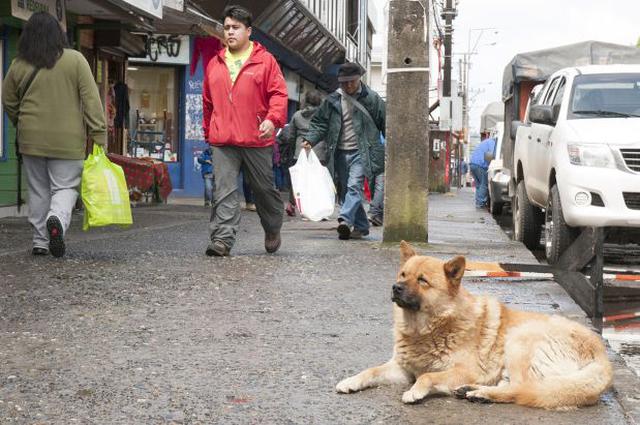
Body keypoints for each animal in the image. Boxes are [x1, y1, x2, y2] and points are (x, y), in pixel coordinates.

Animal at [332, 240, 612, 410]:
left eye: (422, 281)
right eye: (403, 275)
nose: (395, 287)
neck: (428, 327)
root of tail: (602, 355)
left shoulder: (465, 369)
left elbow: (427, 375)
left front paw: (416, 390)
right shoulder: (401, 368)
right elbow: (371, 371)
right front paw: (351, 380)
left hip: (520, 340)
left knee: (520, 388)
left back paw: (481, 394)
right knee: (511, 385)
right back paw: (472, 391)